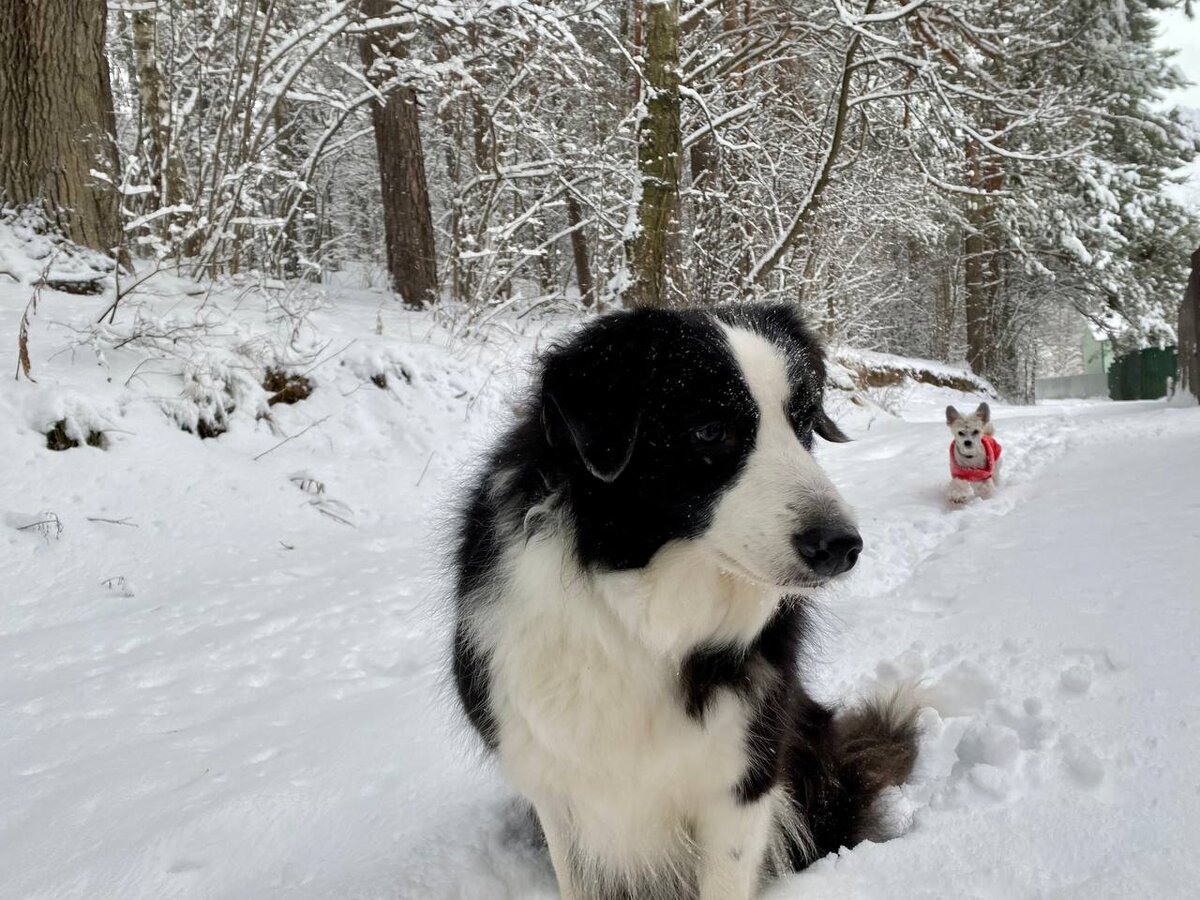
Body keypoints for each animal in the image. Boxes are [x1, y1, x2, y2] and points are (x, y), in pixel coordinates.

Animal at [451, 304, 916, 900]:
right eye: (710, 430)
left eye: (805, 423)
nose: (841, 547)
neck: (643, 613)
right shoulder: (557, 783)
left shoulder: (744, 771)